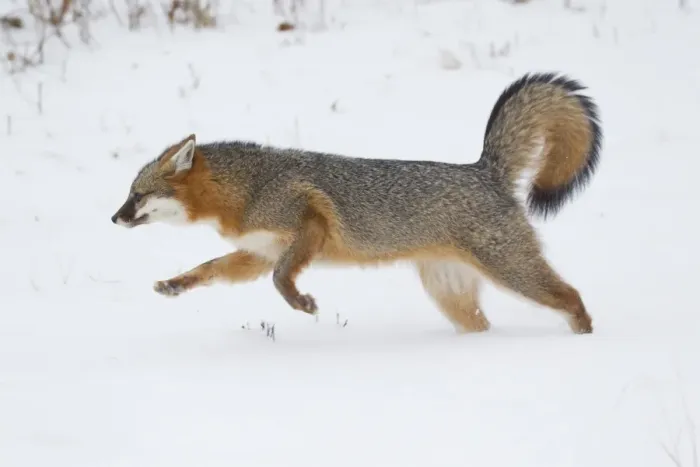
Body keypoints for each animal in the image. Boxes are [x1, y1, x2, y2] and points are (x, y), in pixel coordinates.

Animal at [111, 72, 602, 335]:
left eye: (137, 195)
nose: (113, 218)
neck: (249, 187)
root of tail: (484, 168)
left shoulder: (307, 225)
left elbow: (280, 280)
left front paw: (303, 304)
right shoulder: (258, 252)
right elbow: (209, 269)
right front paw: (175, 284)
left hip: (514, 274)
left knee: (573, 297)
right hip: (453, 298)